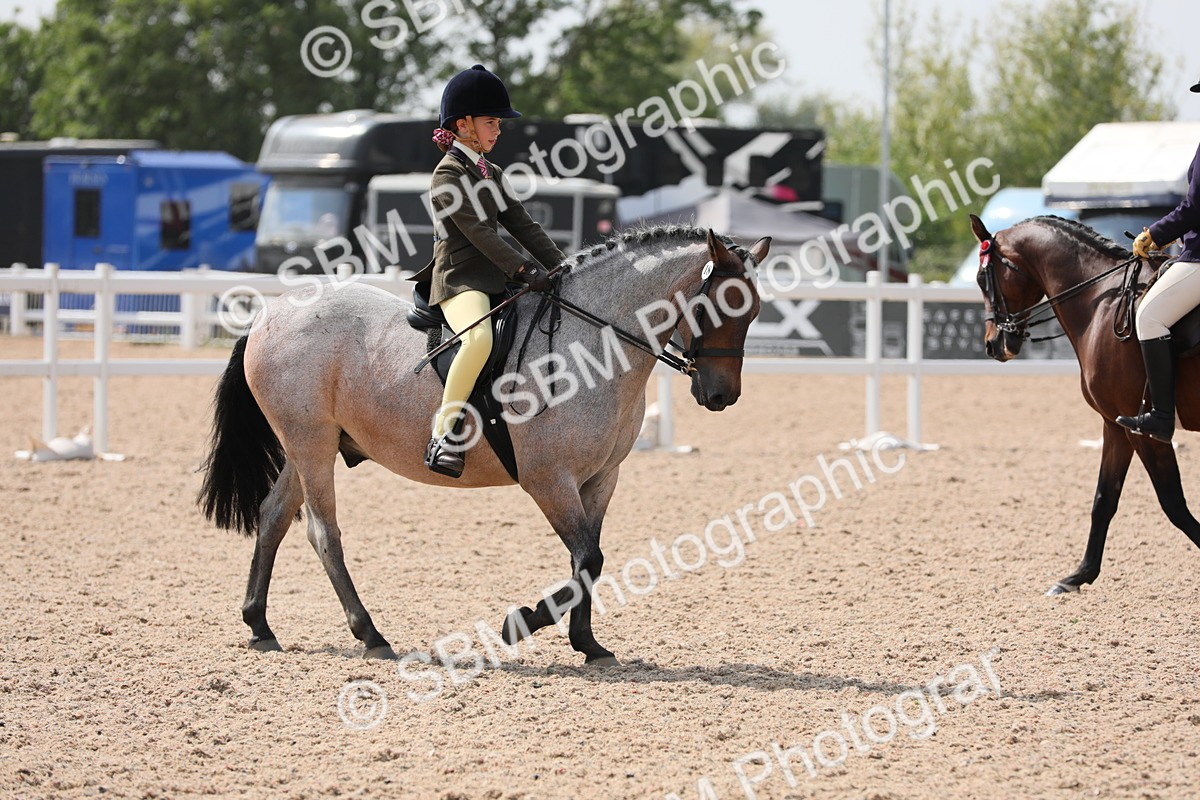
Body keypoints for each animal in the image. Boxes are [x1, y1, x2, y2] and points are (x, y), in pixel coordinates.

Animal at [197, 225, 770, 663]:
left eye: (754, 312)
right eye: (718, 307)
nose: (721, 395)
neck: (594, 344)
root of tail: (269, 314)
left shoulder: (601, 479)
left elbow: (587, 560)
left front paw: (589, 645)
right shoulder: (548, 479)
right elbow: (588, 558)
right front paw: (520, 623)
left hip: (309, 445)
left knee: (273, 516)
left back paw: (259, 625)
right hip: (311, 443)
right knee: (322, 533)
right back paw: (371, 635)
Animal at [969, 213, 1200, 596]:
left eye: (980, 279)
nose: (993, 344)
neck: (1101, 303)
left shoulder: (1146, 432)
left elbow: (1173, 503)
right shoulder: (1116, 426)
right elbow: (1104, 500)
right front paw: (1078, 576)